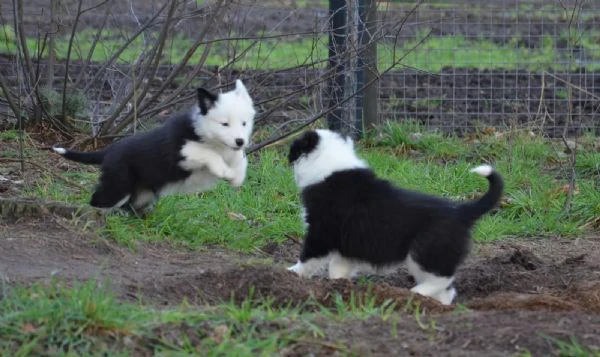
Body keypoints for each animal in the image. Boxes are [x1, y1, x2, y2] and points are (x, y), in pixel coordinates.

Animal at [52, 80, 255, 214]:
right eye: (224, 124)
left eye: (244, 123)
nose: (240, 141)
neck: (212, 137)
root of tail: (110, 150)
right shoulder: (181, 152)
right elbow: (207, 153)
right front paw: (225, 172)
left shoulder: (232, 151)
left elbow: (241, 159)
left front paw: (237, 178)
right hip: (119, 183)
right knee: (99, 199)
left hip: (143, 192)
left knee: (130, 204)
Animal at [288, 128, 504, 304]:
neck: (330, 165)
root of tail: (461, 212)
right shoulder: (348, 242)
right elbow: (338, 267)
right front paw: (339, 286)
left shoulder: (321, 230)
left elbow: (308, 257)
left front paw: (291, 274)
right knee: (447, 290)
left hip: (424, 252)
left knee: (441, 279)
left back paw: (415, 293)